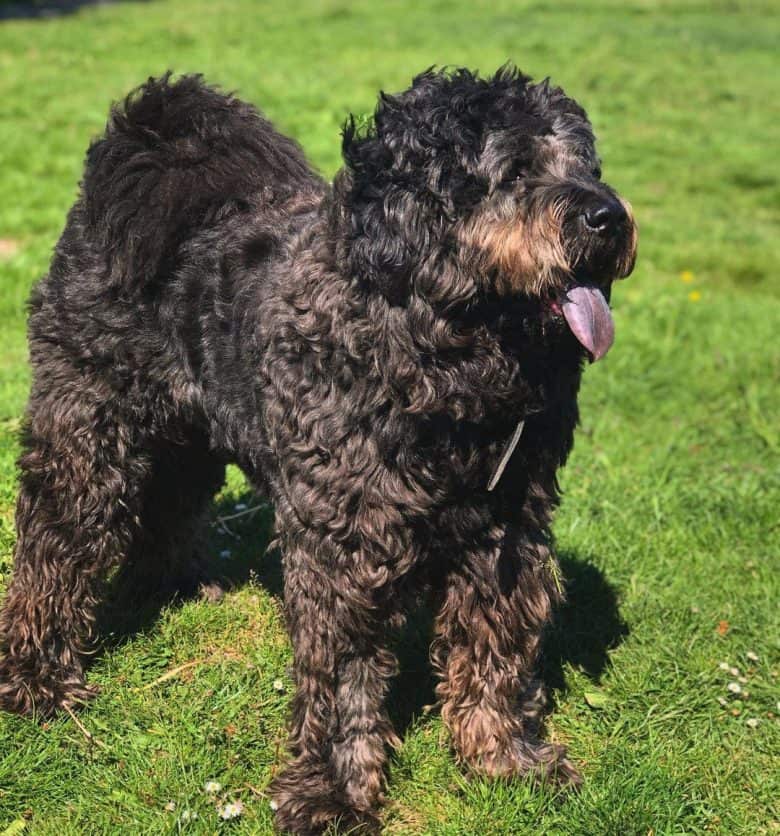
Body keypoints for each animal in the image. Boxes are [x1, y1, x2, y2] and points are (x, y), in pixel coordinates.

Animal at [0, 68, 632, 832]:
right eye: (513, 170)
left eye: (587, 166)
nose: (608, 217)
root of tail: (153, 144)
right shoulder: (342, 547)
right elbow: (339, 680)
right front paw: (333, 792)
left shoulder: (505, 531)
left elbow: (496, 652)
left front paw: (505, 758)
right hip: (87, 431)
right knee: (53, 542)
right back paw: (36, 676)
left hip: (195, 426)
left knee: (172, 497)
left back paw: (176, 585)